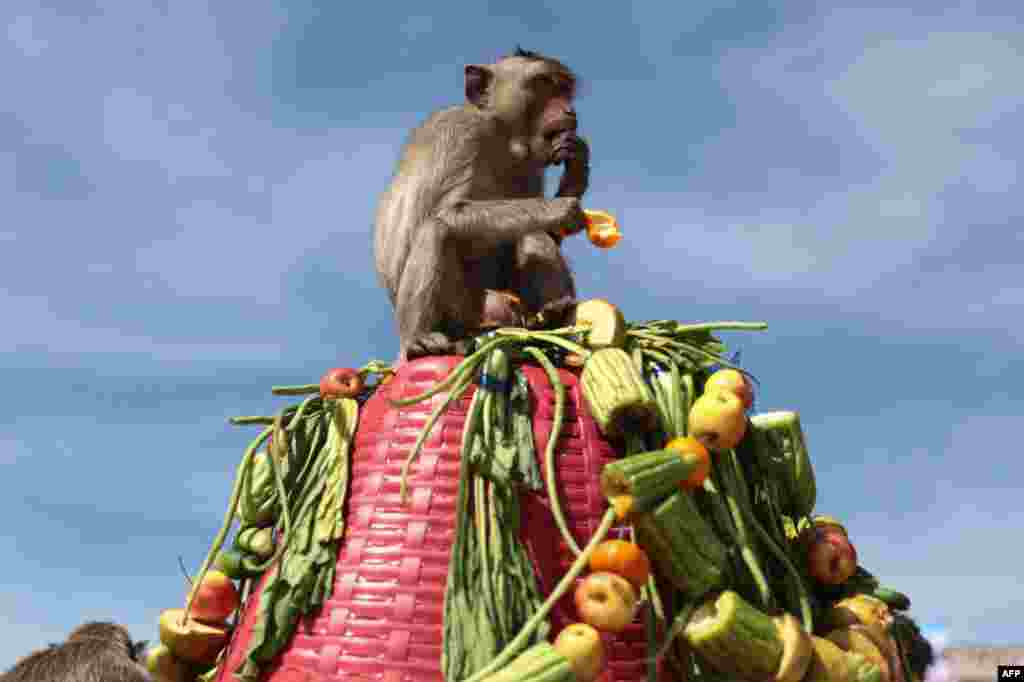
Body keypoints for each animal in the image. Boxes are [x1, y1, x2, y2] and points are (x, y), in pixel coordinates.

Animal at [374, 46, 589, 360]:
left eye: (564, 89)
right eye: (543, 84)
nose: (570, 111)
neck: (502, 135)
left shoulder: (531, 166)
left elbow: (548, 233)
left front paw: (577, 165)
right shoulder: (460, 132)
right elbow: (445, 210)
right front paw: (560, 209)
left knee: (531, 234)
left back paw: (553, 318)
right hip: (466, 308)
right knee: (436, 229)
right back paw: (419, 338)